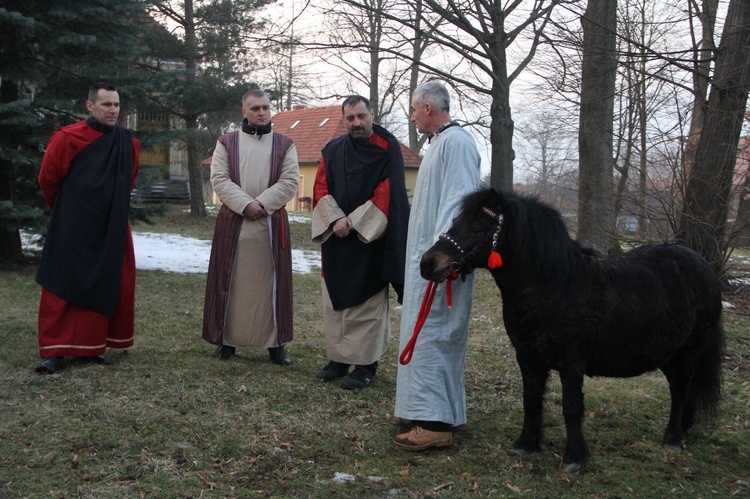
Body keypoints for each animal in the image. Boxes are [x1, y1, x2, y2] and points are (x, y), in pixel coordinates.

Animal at [420, 188, 724, 472]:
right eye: (455, 222)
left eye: (475, 228)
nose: (428, 263)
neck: (556, 284)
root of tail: (702, 264)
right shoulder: (528, 358)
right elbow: (531, 399)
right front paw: (526, 444)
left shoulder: (571, 364)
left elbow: (571, 408)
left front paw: (574, 457)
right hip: (668, 354)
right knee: (680, 388)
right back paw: (684, 427)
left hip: (688, 353)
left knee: (681, 388)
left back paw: (672, 438)